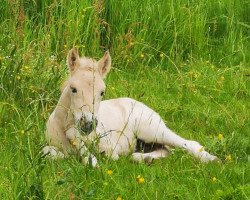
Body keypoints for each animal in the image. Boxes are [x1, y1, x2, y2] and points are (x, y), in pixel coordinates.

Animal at [43, 47, 219, 166]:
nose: (87, 124)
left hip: (151, 130)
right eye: (73, 89)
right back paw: (143, 158)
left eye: (102, 92)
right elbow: (48, 152)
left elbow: (102, 155)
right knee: (164, 150)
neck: (61, 125)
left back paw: (212, 159)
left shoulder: (108, 145)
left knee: (188, 143)